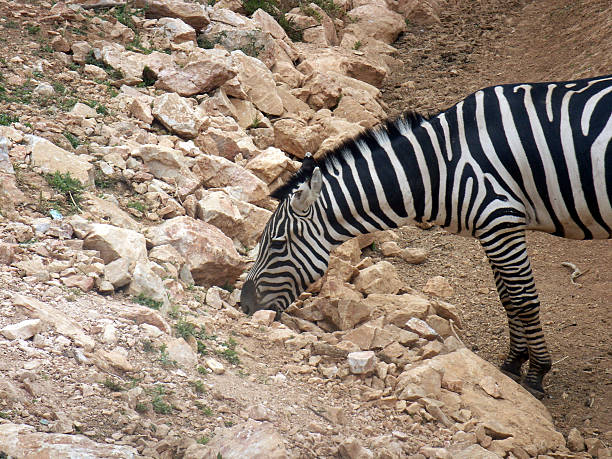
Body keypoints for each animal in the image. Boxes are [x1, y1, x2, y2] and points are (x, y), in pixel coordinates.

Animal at [239, 73, 612, 398]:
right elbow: (508, 297)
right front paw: (511, 364)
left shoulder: (500, 219)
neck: (441, 166)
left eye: (276, 244)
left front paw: (536, 374)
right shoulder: (494, 227)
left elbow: (523, 300)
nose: (244, 305)